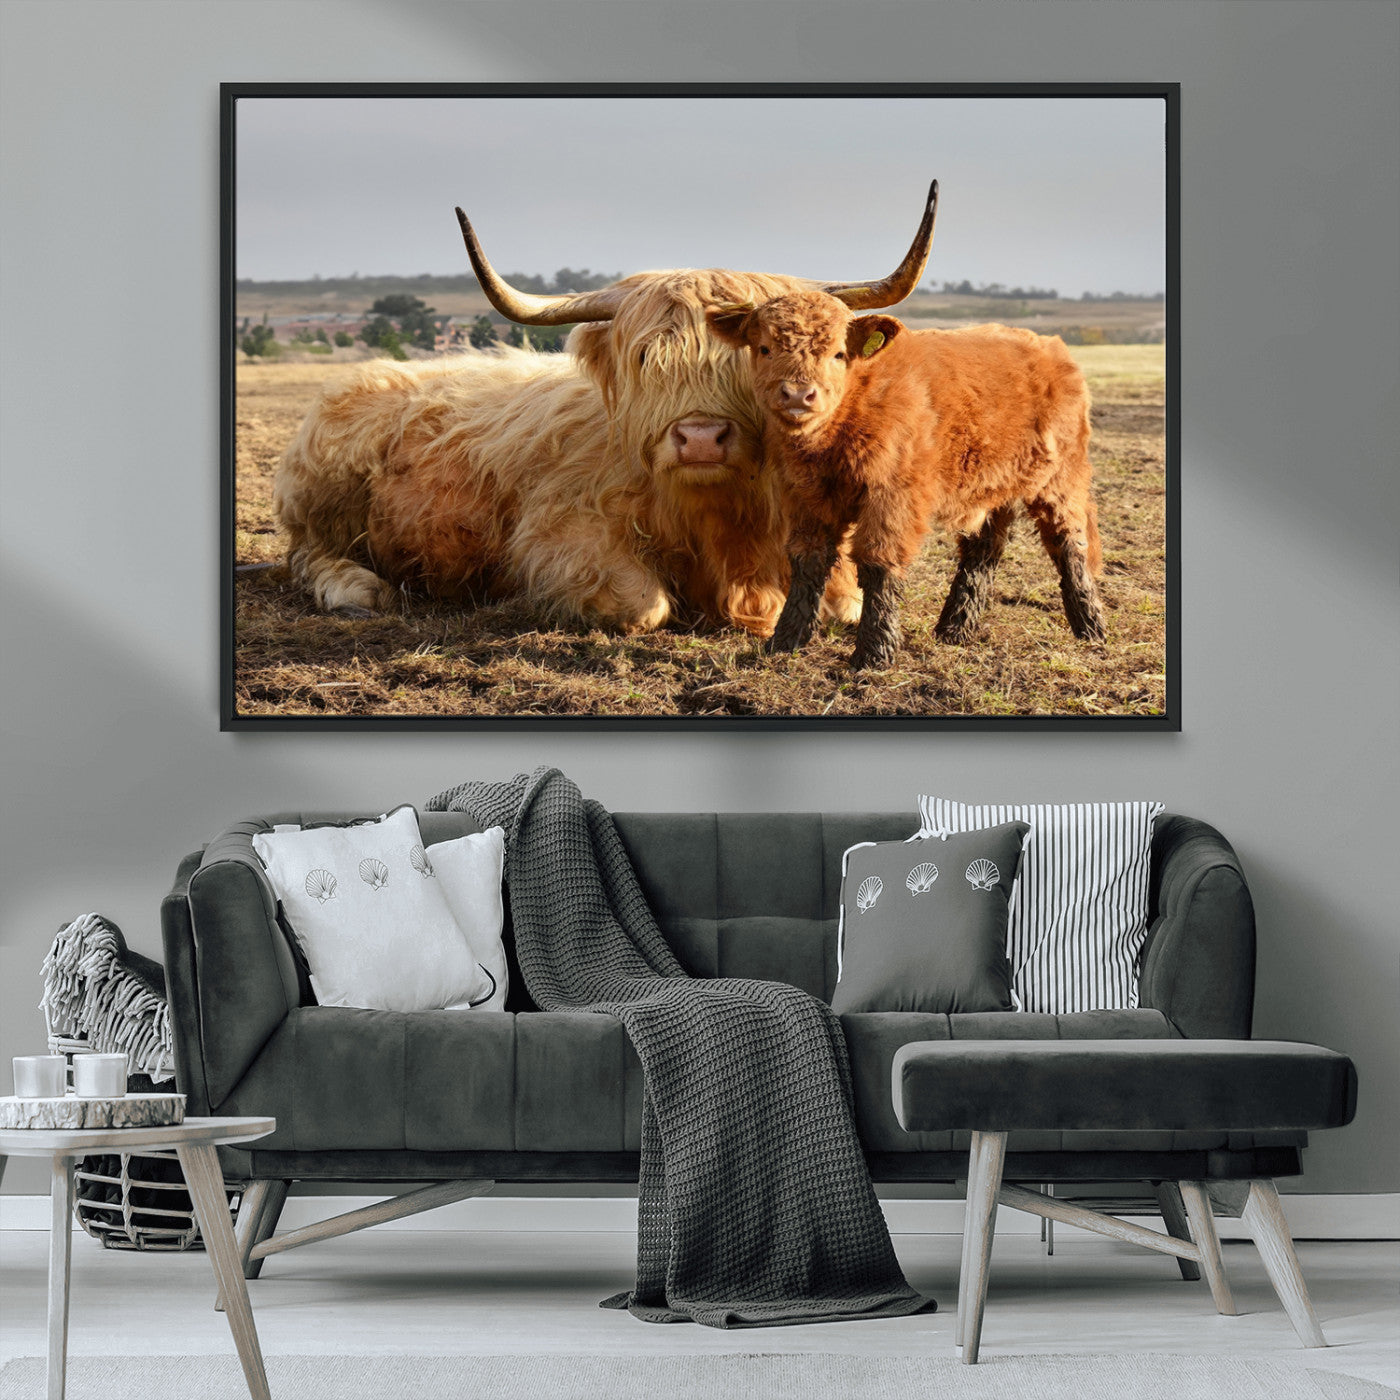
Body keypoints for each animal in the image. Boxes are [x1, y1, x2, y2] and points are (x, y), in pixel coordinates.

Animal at [271, 184, 941, 636]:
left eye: (756, 353)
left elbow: (845, 601)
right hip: (325, 498)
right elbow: (643, 605)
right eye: (646, 357)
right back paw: (356, 589)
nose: (701, 438)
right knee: (308, 556)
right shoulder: (558, 533)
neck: (721, 519)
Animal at [707, 289, 1106, 669]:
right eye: (765, 348)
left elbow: (878, 563)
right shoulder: (806, 496)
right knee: (983, 551)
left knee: (1069, 543)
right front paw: (785, 642)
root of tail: (1051, 346)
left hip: (1060, 480)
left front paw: (874, 653)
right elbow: (808, 561)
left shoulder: (892, 496)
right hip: (991, 486)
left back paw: (1091, 627)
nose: (798, 394)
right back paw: (955, 628)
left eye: (838, 353)